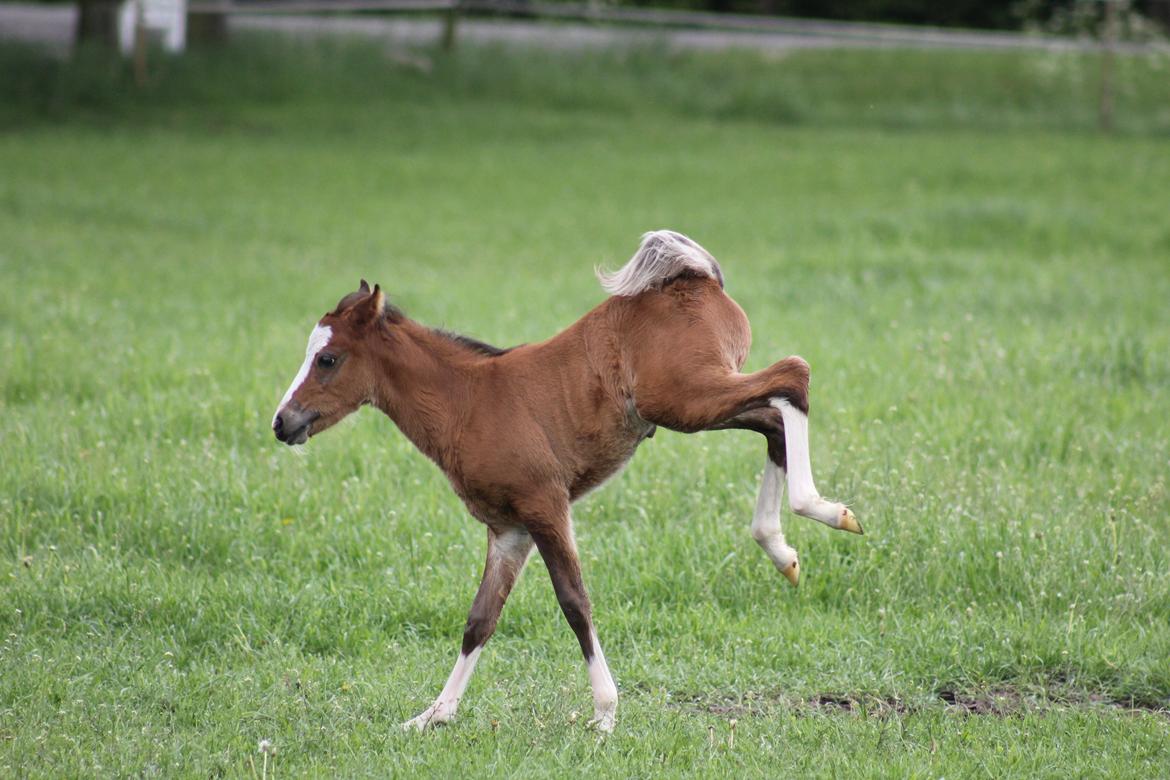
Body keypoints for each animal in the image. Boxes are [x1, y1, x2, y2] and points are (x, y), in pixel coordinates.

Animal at [271, 230, 861, 733]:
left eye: (328, 359)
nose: (282, 422)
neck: (467, 401)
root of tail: (697, 278)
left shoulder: (545, 506)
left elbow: (574, 601)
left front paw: (605, 712)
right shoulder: (508, 530)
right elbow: (480, 618)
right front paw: (433, 715)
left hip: (685, 396)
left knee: (793, 376)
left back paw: (821, 510)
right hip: (693, 401)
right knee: (773, 418)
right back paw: (782, 549)